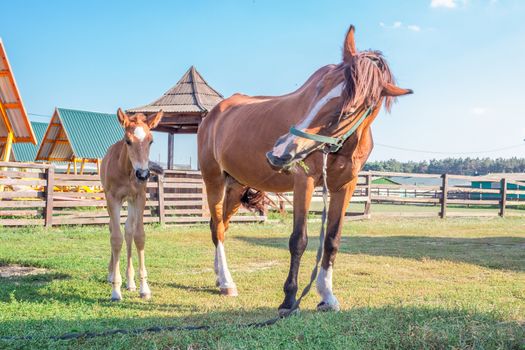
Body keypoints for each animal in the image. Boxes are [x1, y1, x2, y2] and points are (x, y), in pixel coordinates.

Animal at [199, 26, 412, 314]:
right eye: (318, 88)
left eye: (349, 110)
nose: (279, 152)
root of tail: (213, 114)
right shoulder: (305, 182)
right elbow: (298, 240)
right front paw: (289, 299)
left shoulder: (345, 187)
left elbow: (332, 240)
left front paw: (327, 295)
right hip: (214, 181)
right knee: (218, 230)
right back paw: (226, 282)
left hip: (236, 185)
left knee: (219, 225)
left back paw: (219, 277)